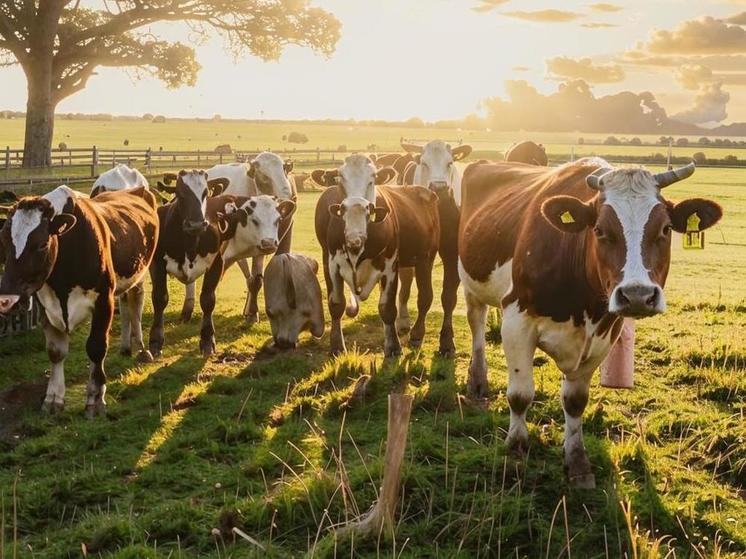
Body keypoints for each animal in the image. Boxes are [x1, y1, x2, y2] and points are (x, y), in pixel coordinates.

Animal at [0, 186, 158, 418]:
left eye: (42, 244)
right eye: (4, 242)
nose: (6, 299)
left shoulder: (104, 300)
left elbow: (96, 347)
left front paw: (95, 399)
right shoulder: (46, 306)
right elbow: (55, 351)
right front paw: (53, 399)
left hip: (139, 273)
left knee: (135, 305)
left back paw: (141, 349)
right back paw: (126, 347)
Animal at [310, 153, 438, 356]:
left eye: (373, 179)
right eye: (340, 180)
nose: (357, 207)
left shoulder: (390, 265)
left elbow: (387, 308)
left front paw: (393, 347)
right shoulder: (329, 263)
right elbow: (336, 304)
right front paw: (337, 345)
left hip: (426, 257)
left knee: (425, 296)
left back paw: (417, 334)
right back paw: (403, 323)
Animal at [396, 142, 470, 356]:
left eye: (450, 162)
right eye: (424, 162)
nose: (439, 187)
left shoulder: (453, 254)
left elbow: (449, 297)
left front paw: (446, 340)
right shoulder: (423, 255)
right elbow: (425, 295)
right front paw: (417, 333)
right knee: (406, 280)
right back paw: (402, 320)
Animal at [456, 158, 716, 486]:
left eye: (666, 228)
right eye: (600, 229)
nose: (638, 295)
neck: (583, 301)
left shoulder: (605, 334)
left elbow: (576, 401)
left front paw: (577, 462)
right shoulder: (517, 319)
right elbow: (520, 394)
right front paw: (516, 450)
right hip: (470, 284)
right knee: (476, 325)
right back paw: (477, 381)